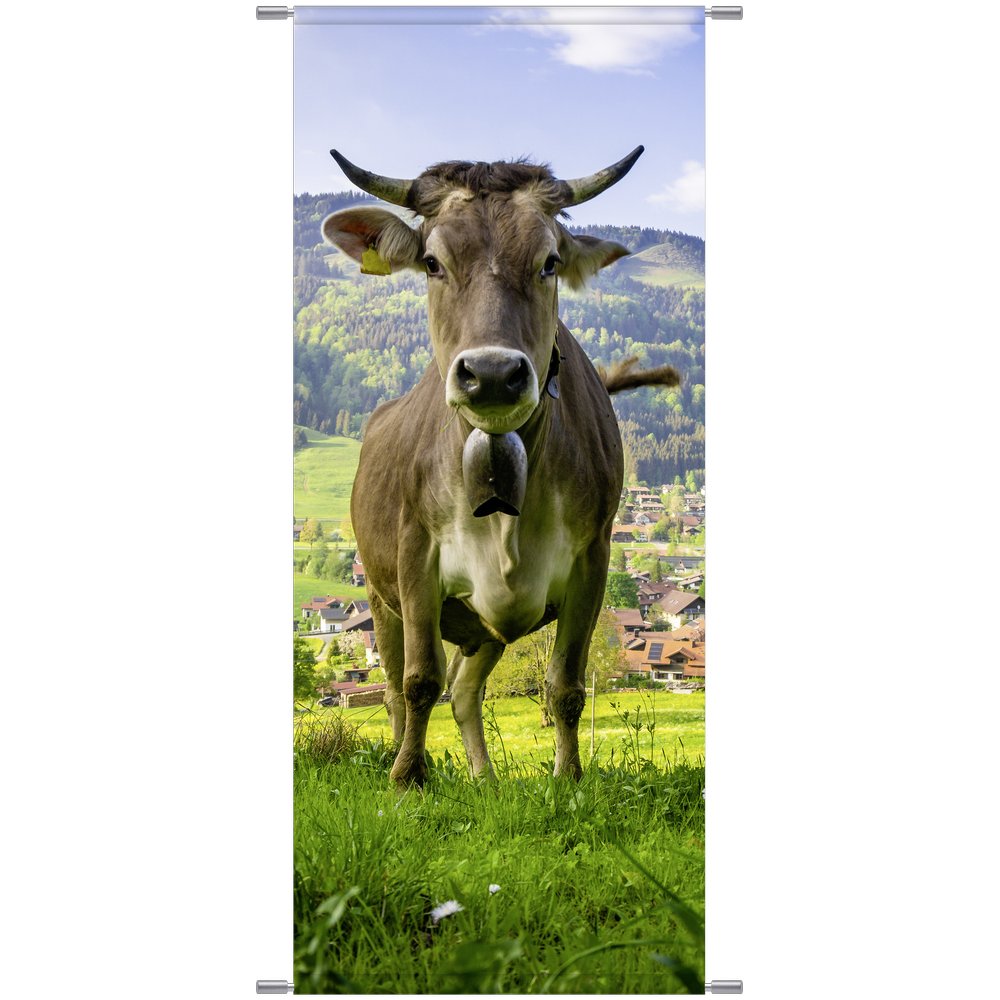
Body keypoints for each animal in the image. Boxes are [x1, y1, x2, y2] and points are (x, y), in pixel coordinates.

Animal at [322, 147, 679, 787]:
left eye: (549, 262)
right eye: (432, 263)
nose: (490, 374)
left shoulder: (592, 557)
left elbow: (566, 685)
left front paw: (568, 780)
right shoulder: (415, 555)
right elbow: (419, 682)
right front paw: (408, 780)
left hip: (483, 625)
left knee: (466, 692)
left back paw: (485, 779)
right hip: (382, 598)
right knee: (396, 690)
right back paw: (404, 758)